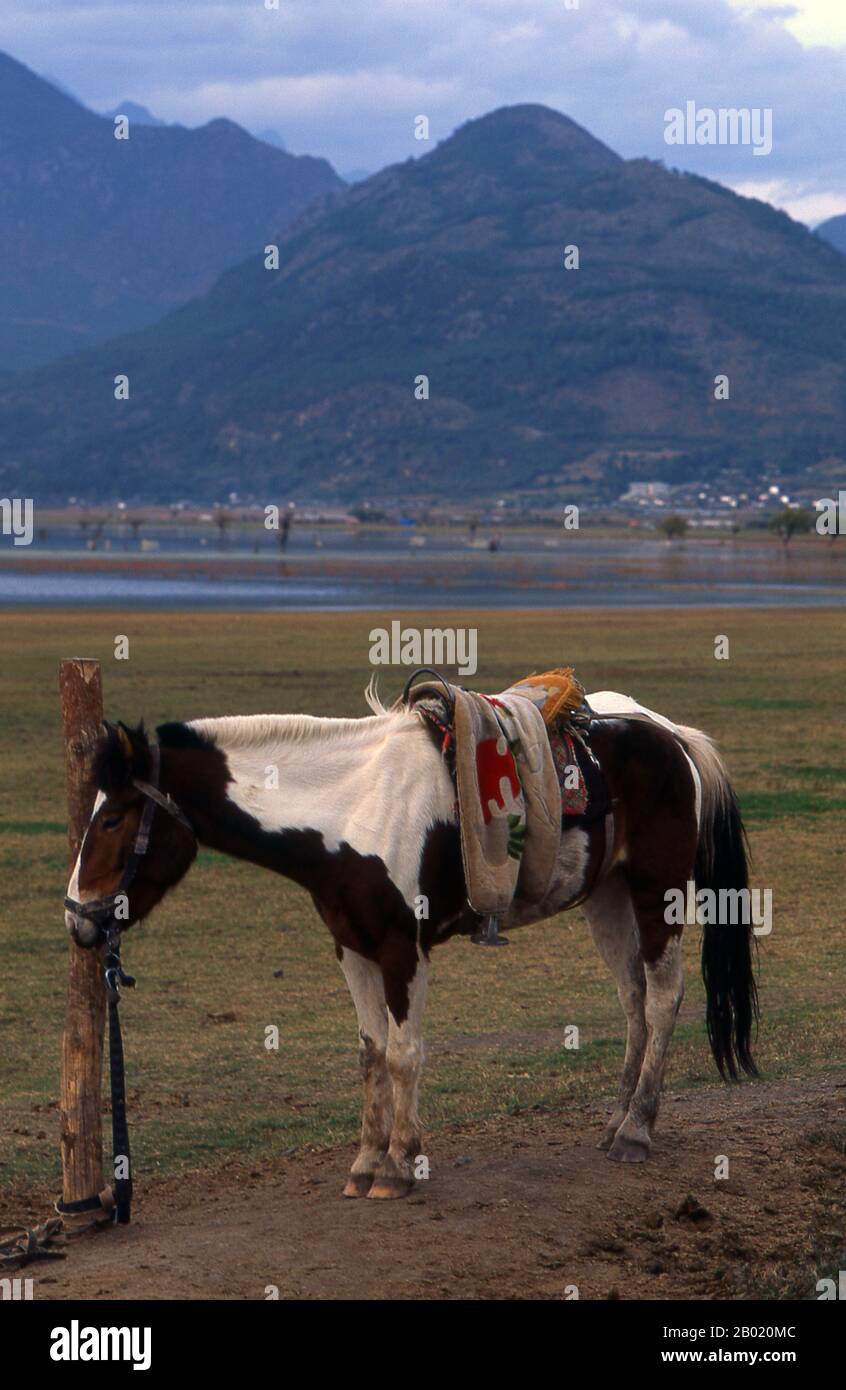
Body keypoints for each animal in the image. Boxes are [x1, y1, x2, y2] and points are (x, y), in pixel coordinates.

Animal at [64, 685, 758, 1200]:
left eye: (113, 818)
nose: (78, 920)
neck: (350, 809)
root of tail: (672, 735)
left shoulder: (403, 948)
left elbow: (403, 1054)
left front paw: (399, 1166)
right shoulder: (352, 947)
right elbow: (371, 1053)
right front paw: (366, 1162)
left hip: (657, 892)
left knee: (663, 998)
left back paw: (637, 1130)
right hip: (608, 898)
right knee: (634, 999)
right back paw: (616, 1119)